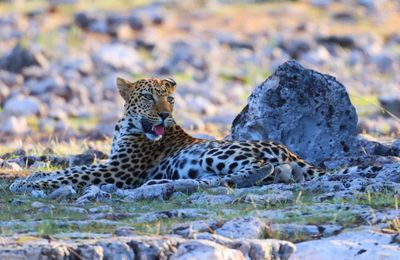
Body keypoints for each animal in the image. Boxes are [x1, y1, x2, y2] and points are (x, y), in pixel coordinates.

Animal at [9, 77, 330, 193]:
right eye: (148, 97)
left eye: (170, 99)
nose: (165, 114)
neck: (126, 123)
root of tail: (289, 151)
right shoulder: (113, 163)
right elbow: (72, 169)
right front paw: (30, 178)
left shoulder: (119, 170)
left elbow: (75, 174)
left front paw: (27, 184)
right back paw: (168, 182)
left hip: (216, 152)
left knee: (262, 169)